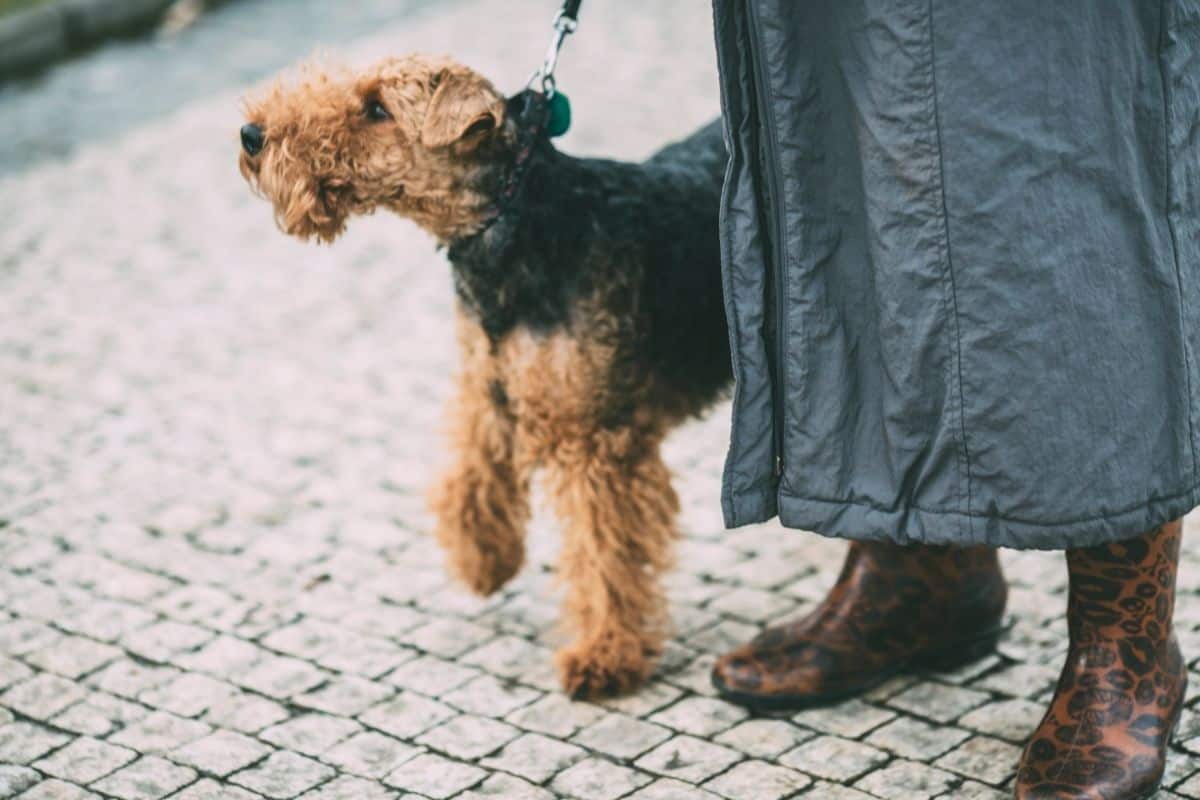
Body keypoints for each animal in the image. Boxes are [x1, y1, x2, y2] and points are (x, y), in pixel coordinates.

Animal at [232, 53, 720, 695]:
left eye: (377, 109)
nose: (251, 135)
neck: (511, 224)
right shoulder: (490, 388)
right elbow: (470, 481)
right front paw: (483, 562)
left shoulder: (594, 438)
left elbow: (601, 550)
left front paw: (603, 654)